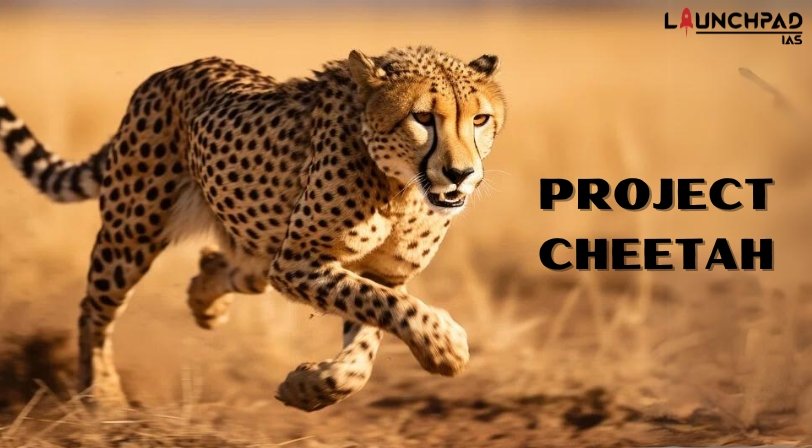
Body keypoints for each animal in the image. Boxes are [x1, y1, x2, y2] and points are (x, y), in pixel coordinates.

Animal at [0, 46, 506, 412]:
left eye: (479, 119)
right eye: (423, 118)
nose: (461, 174)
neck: (401, 189)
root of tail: (171, 71)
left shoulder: (379, 272)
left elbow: (366, 341)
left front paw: (310, 388)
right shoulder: (299, 260)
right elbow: (389, 307)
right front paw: (445, 347)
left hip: (256, 242)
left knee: (229, 267)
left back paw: (204, 298)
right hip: (131, 233)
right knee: (94, 309)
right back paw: (100, 395)